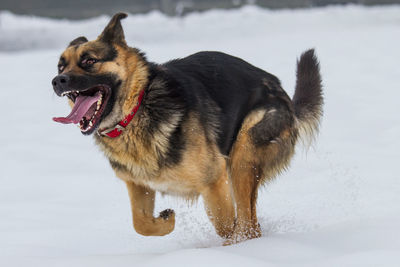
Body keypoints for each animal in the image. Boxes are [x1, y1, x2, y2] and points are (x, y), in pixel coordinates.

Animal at [51, 13, 324, 246]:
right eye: (60, 67)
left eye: (89, 61)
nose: (57, 81)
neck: (137, 108)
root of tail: (285, 96)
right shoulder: (138, 185)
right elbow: (141, 224)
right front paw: (167, 221)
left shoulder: (214, 180)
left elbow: (225, 224)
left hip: (243, 157)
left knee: (248, 225)